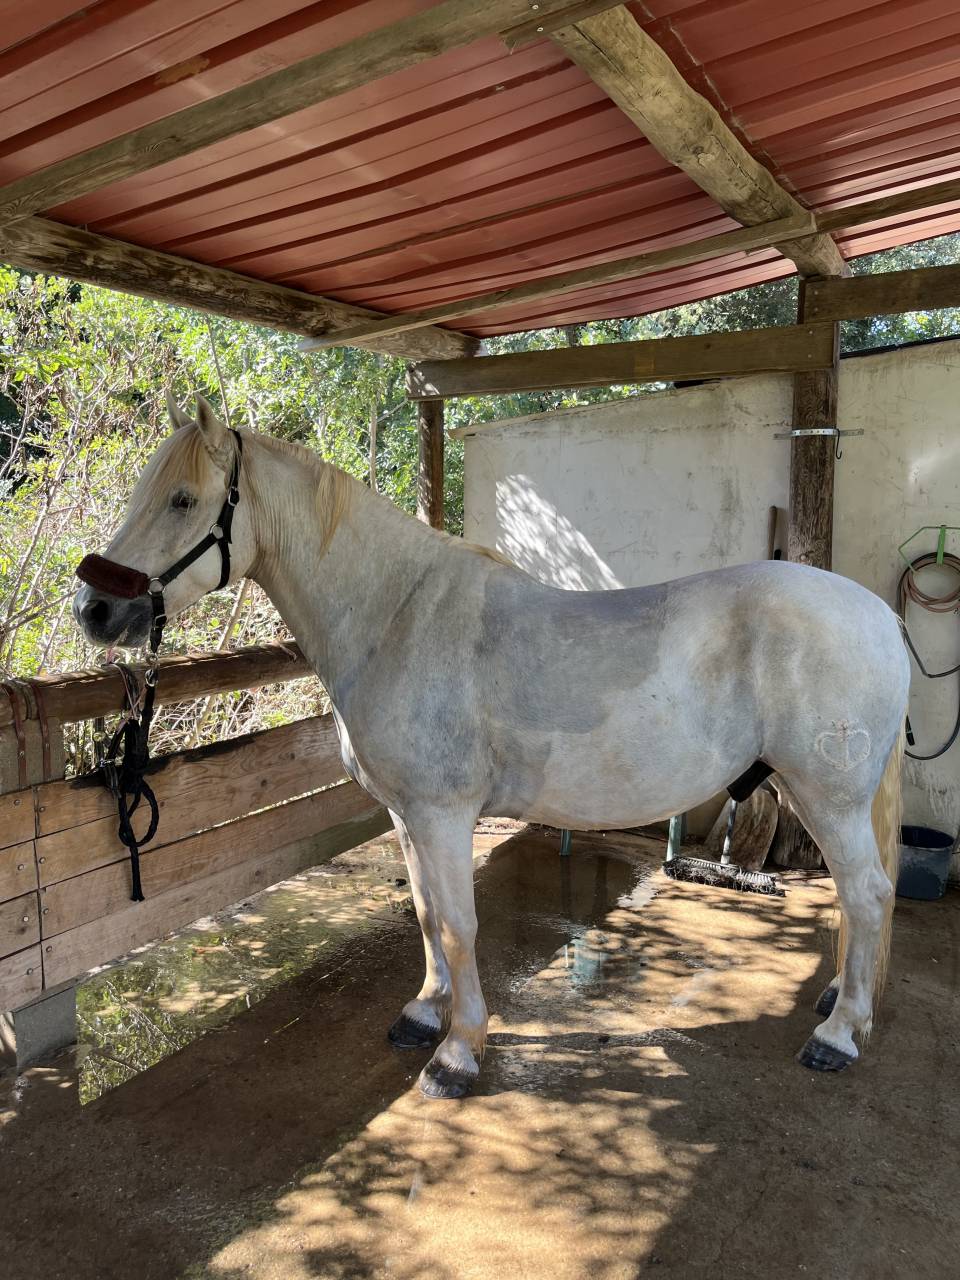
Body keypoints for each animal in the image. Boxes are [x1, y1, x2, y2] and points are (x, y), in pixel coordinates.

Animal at [73, 396, 910, 1099]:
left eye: (184, 500)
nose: (94, 609)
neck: (395, 615)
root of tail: (878, 615)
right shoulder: (407, 816)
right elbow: (423, 913)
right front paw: (424, 1012)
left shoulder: (443, 814)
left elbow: (457, 924)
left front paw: (458, 1051)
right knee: (862, 896)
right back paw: (842, 1002)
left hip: (827, 797)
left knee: (866, 892)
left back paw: (838, 1035)